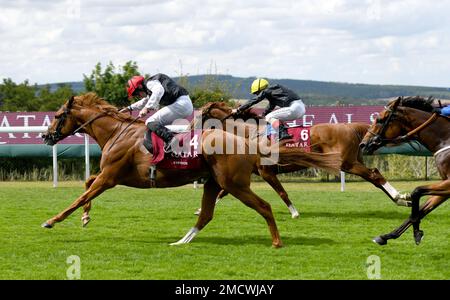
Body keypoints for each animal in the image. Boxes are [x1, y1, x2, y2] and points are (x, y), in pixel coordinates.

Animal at [41, 92, 342, 247]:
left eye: (57, 116)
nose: (45, 136)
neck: (118, 132)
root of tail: (247, 142)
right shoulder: (108, 175)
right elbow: (86, 185)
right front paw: (85, 217)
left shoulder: (110, 176)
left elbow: (81, 195)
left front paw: (52, 221)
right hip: (214, 182)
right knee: (207, 213)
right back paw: (182, 241)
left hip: (234, 184)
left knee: (264, 206)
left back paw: (277, 241)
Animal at [194, 102, 412, 217]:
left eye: (201, 114)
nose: (191, 129)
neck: (249, 133)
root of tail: (351, 127)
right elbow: (223, 191)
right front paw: (200, 209)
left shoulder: (266, 171)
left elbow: (282, 192)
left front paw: (294, 212)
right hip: (353, 161)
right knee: (374, 176)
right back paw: (400, 199)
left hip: (346, 163)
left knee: (374, 175)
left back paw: (399, 197)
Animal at [362, 97, 450, 245]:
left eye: (379, 120)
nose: (363, 144)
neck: (445, 139)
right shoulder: (445, 185)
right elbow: (422, 209)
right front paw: (386, 236)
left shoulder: (448, 184)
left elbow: (416, 191)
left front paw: (416, 232)